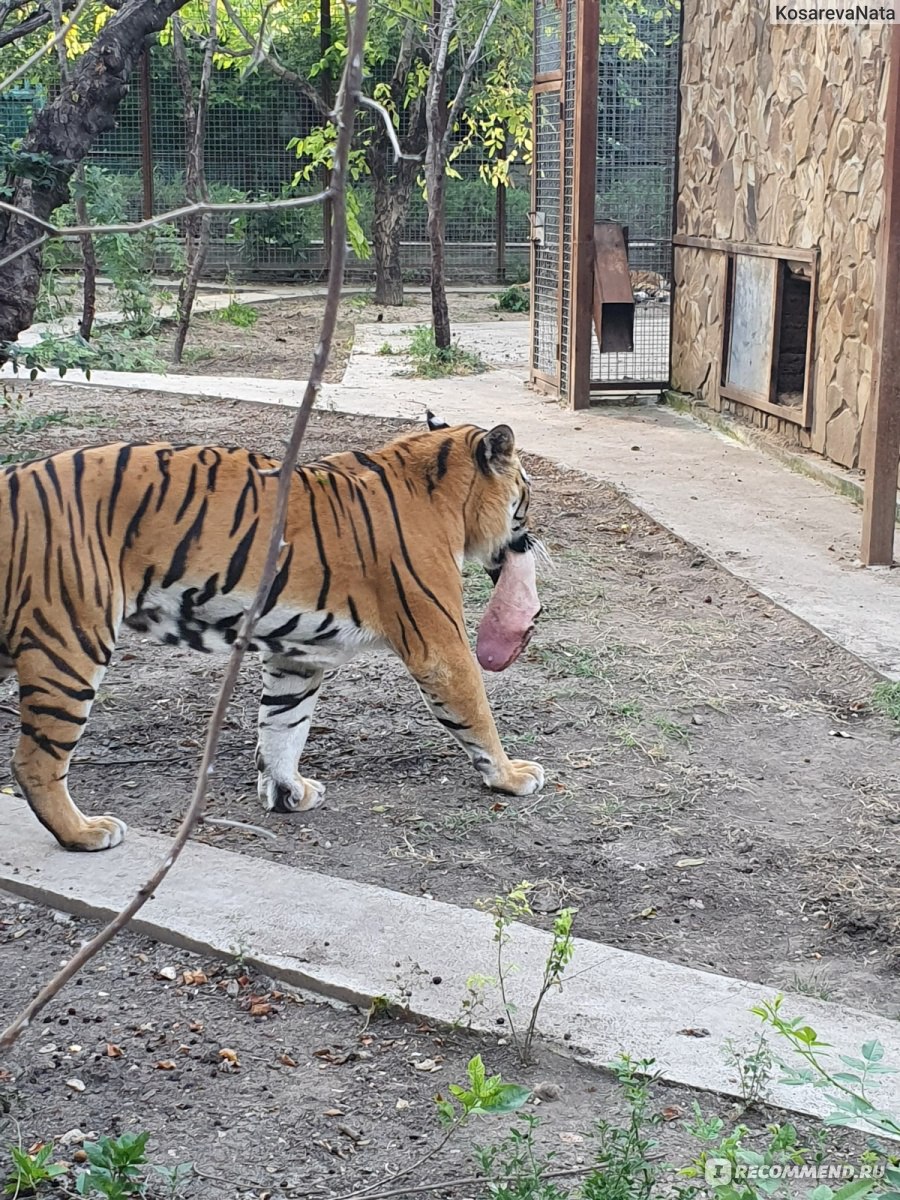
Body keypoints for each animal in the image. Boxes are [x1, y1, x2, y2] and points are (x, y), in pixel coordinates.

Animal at [0, 412, 542, 854]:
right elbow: (476, 711)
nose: (533, 538)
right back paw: (84, 832)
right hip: (69, 639)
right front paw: (512, 776)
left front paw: (287, 794)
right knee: (34, 760)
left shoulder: (297, 656)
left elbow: (283, 723)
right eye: (526, 491)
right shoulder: (439, 643)